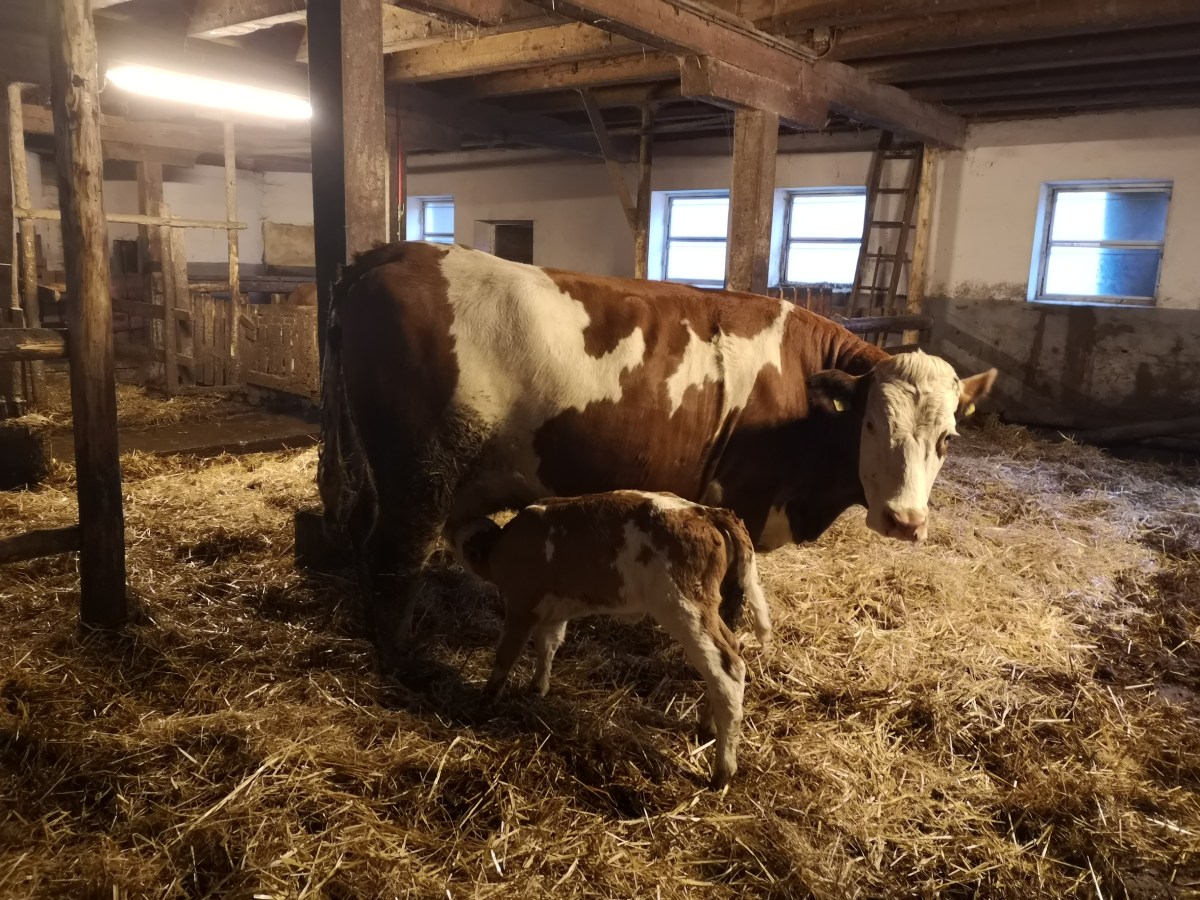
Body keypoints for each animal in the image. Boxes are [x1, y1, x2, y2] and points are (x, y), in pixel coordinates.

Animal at [317, 241, 996, 654]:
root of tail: (401, 252)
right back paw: (400, 654)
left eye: (948, 437)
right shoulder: (743, 503)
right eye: (872, 426)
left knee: (357, 527)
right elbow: (732, 595)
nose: (904, 520)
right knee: (395, 554)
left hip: (378, 470)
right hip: (419, 474)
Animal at [452, 490, 772, 789]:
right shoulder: (554, 611)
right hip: (705, 611)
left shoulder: (521, 602)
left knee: (727, 671)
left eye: (466, 543)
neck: (503, 546)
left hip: (684, 608)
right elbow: (548, 646)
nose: (450, 533)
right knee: (732, 649)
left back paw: (722, 771)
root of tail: (704, 511)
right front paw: (537, 688)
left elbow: (506, 653)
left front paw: (487, 696)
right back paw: (708, 725)